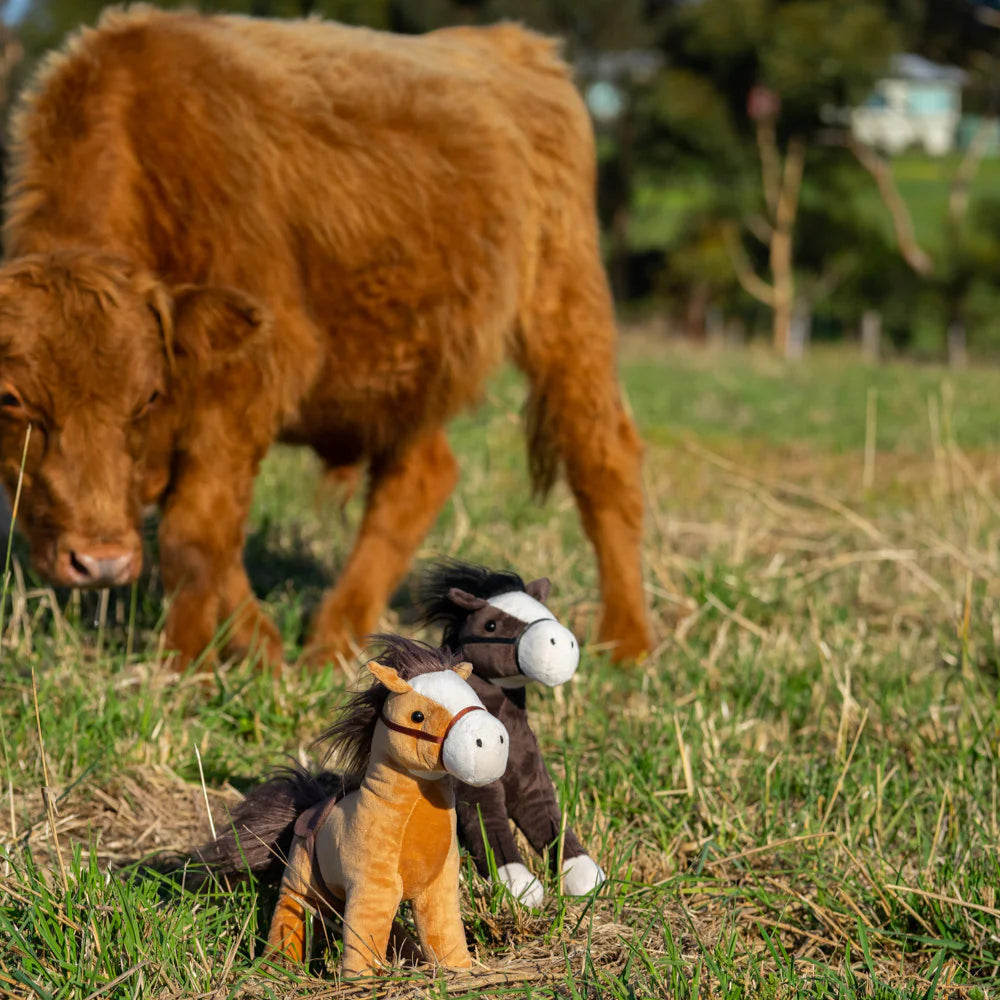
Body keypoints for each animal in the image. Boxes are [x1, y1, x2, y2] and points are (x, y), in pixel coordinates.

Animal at [0, 7, 648, 668]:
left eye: (147, 397)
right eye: (13, 399)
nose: (100, 562)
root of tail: (512, 43)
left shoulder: (254, 375)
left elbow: (193, 534)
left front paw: (186, 664)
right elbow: (212, 538)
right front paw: (259, 647)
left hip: (567, 312)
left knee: (603, 460)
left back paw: (626, 640)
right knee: (418, 481)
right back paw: (337, 638)